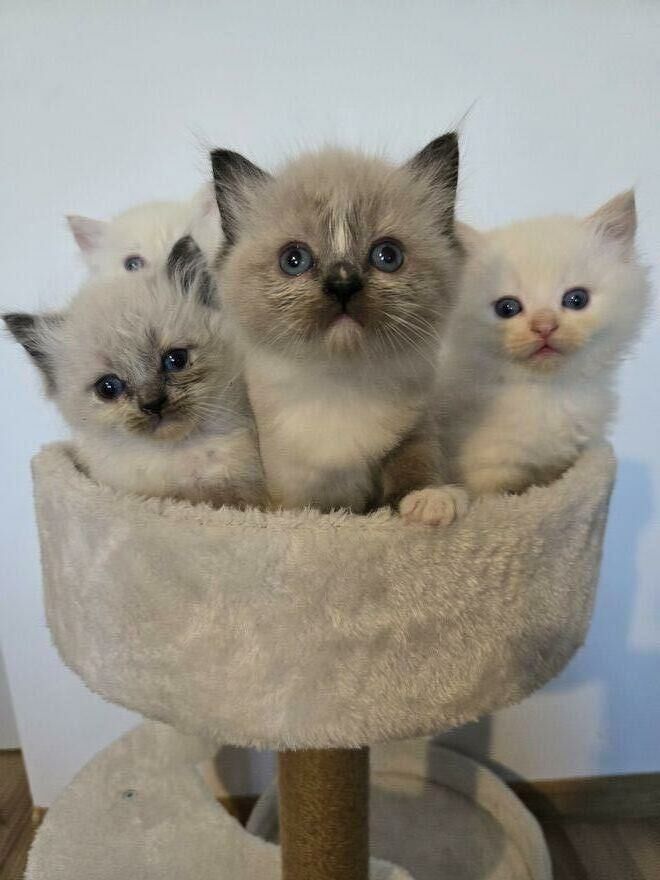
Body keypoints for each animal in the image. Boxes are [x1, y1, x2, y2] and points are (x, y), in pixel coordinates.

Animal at [210, 134, 469, 524]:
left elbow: (414, 467)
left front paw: (429, 501)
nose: (343, 284)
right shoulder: (290, 487)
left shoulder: (415, 428)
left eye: (387, 256)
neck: (340, 385)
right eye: (294, 260)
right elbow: (304, 510)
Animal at [438, 190, 650, 497]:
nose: (544, 326)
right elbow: (501, 494)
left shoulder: (565, 459)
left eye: (576, 299)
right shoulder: (487, 469)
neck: (546, 395)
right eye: (507, 308)